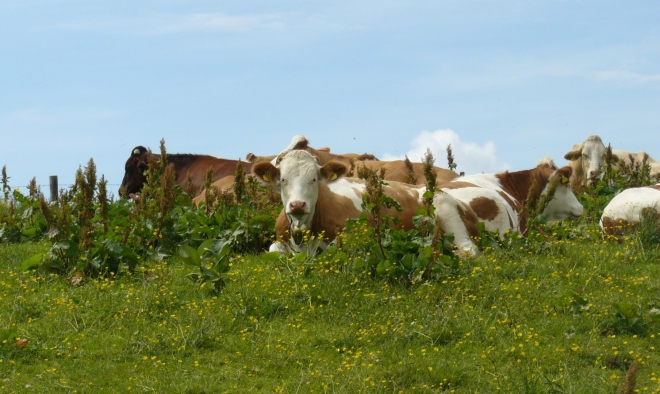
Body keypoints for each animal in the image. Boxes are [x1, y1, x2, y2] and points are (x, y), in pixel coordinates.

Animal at [250, 150, 482, 255]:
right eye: (282, 179)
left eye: (314, 179)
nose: (298, 205)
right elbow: (273, 249)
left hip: (446, 210)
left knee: (468, 250)